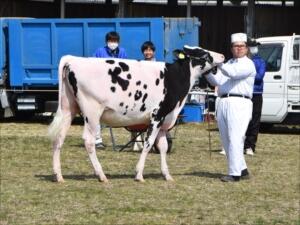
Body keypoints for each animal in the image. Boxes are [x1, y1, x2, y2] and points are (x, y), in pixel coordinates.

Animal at [48, 45, 224, 183]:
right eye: (203, 53)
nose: (222, 55)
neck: (175, 77)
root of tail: (73, 59)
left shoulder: (165, 120)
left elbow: (163, 146)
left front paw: (167, 175)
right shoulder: (157, 116)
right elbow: (148, 143)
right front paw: (139, 174)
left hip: (68, 108)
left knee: (59, 138)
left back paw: (58, 176)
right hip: (92, 112)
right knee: (88, 141)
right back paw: (101, 175)